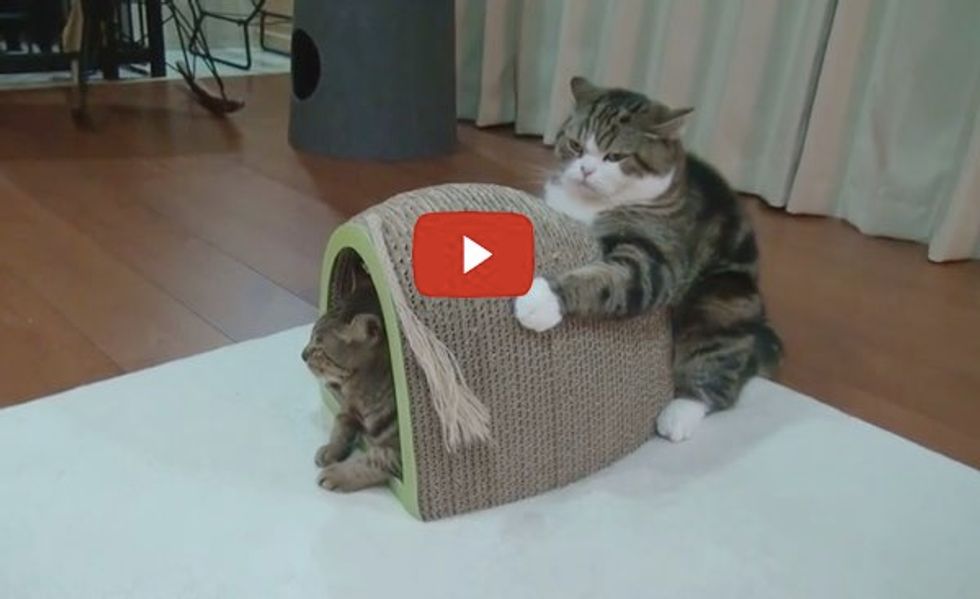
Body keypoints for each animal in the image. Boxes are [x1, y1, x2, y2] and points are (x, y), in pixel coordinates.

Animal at [302, 270, 402, 492]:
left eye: (319, 349)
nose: (302, 355)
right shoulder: (348, 408)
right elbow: (340, 424)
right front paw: (330, 449)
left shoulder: (397, 453)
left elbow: (370, 462)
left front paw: (337, 474)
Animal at [516, 76, 784, 440]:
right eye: (575, 146)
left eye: (615, 156)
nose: (585, 170)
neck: (591, 205)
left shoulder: (656, 258)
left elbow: (606, 279)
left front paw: (542, 298)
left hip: (719, 302)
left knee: (716, 378)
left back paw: (679, 415)